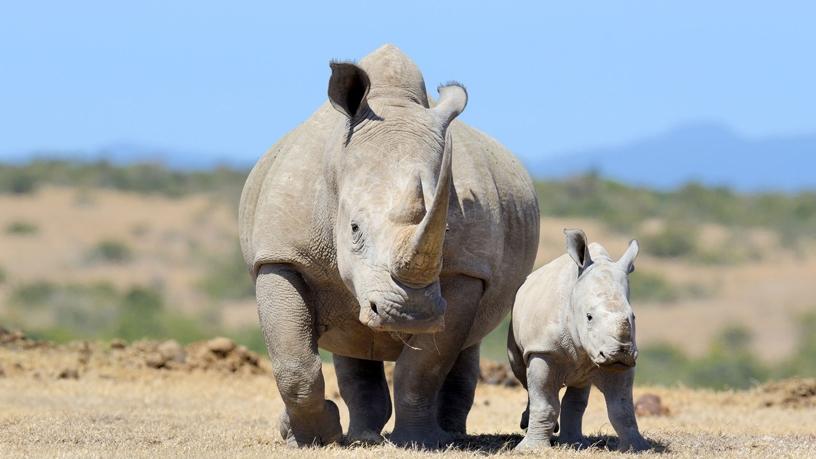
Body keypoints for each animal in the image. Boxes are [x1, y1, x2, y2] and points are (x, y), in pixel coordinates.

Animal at [239, 45, 540, 448]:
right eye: (354, 229)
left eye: (446, 228)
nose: (409, 313)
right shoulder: (281, 256)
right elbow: (295, 364)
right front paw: (311, 436)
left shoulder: (466, 271)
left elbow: (423, 368)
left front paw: (421, 441)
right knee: (350, 339)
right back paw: (361, 435)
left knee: (465, 346)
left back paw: (448, 434)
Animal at [506, 230, 648, 452]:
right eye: (589, 317)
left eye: (633, 317)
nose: (620, 352)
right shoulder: (543, 349)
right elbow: (544, 402)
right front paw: (531, 450)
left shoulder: (618, 362)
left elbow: (622, 408)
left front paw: (637, 448)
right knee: (524, 375)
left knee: (579, 387)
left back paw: (574, 443)